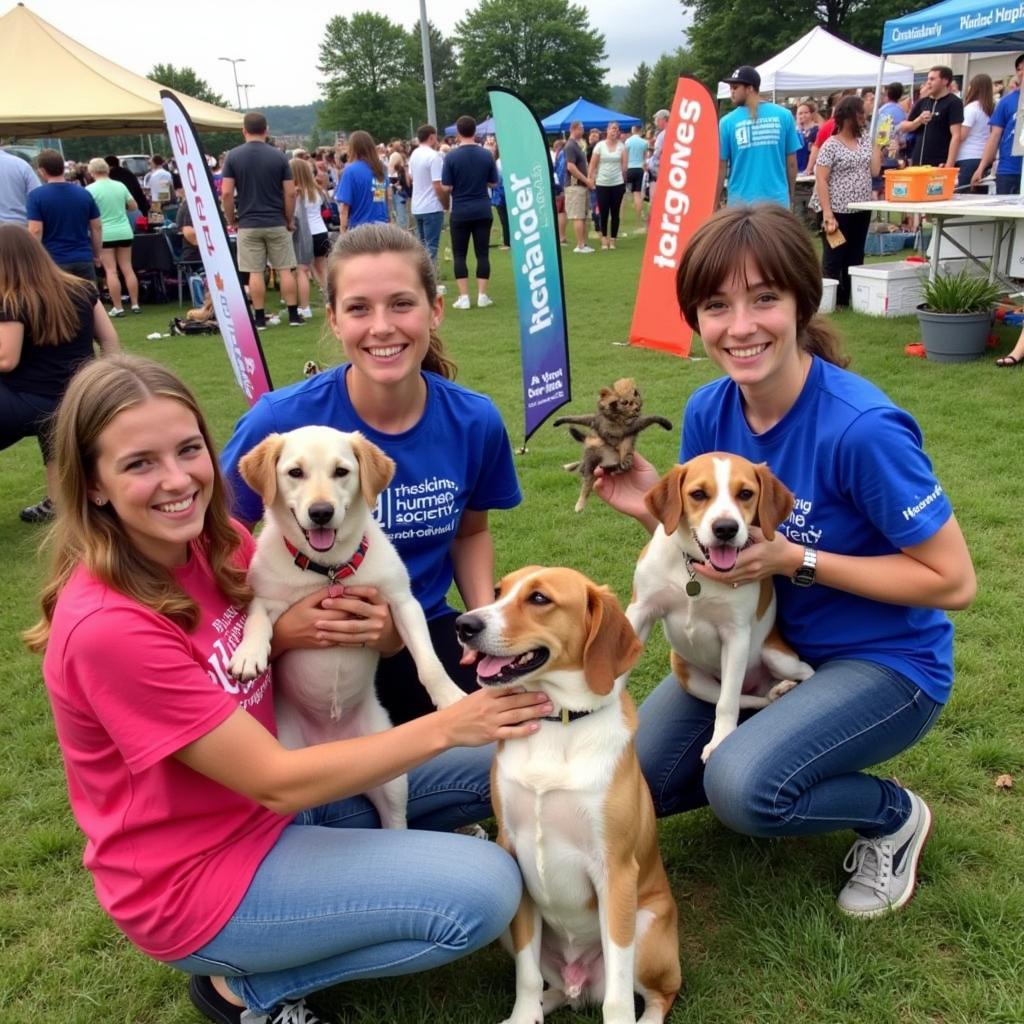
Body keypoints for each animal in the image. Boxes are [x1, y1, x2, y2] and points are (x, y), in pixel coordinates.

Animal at [229, 421, 464, 823]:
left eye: (341, 471)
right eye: (295, 472)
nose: (321, 512)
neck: (329, 570)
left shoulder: (402, 602)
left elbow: (429, 662)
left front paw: (448, 696)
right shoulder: (266, 598)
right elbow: (256, 621)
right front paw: (248, 655)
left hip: (391, 779)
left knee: (396, 819)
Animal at [456, 565, 679, 1024]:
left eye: (539, 599)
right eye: (498, 592)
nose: (463, 625)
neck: (559, 722)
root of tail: (582, 984)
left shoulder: (615, 872)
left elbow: (618, 997)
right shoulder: (514, 854)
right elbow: (525, 976)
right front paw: (523, 1016)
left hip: (647, 927)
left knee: (659, 994)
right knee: (556, 986)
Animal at [626, 452, 811, 765]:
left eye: (745, 493)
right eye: (698, 494)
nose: (725, 528)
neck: (695, 569)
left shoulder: (735, 635)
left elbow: (727, 703)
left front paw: (720, 741)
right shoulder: (640, 612)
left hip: (775, 656)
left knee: (797, 675)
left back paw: (787, 688)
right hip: (688, 676)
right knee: (750, 700)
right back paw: (777, 693)